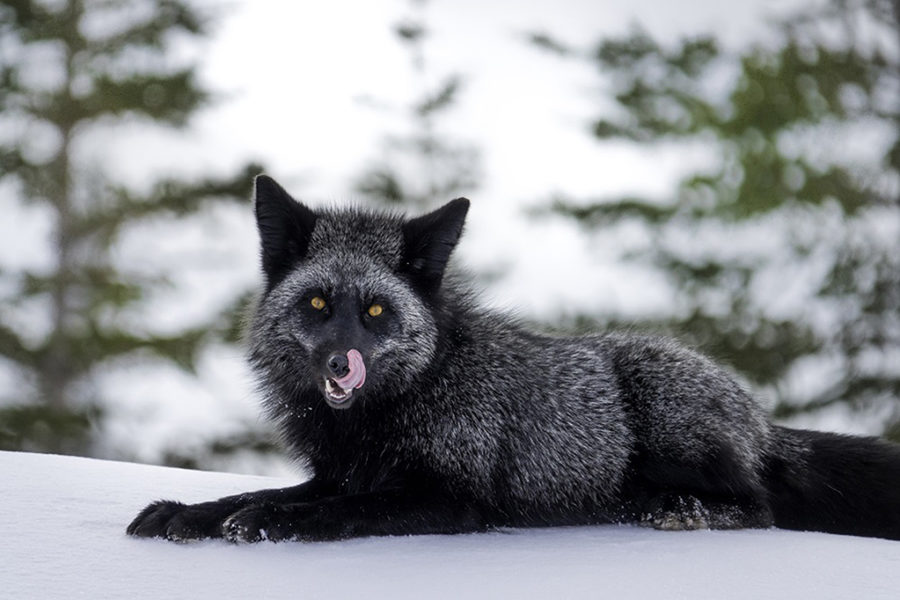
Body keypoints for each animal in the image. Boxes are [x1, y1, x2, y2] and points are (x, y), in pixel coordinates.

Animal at [126, 175, 900, 544]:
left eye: (375, 312)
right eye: (318, 304)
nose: (343, 365)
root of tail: (762, 422)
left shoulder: (451, 497)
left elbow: (336, 513)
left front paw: (272, 523)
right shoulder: (338, 473)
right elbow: (249, 495)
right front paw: (186, 512)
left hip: (667, 411)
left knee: (759, 506)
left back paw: (671, 509)